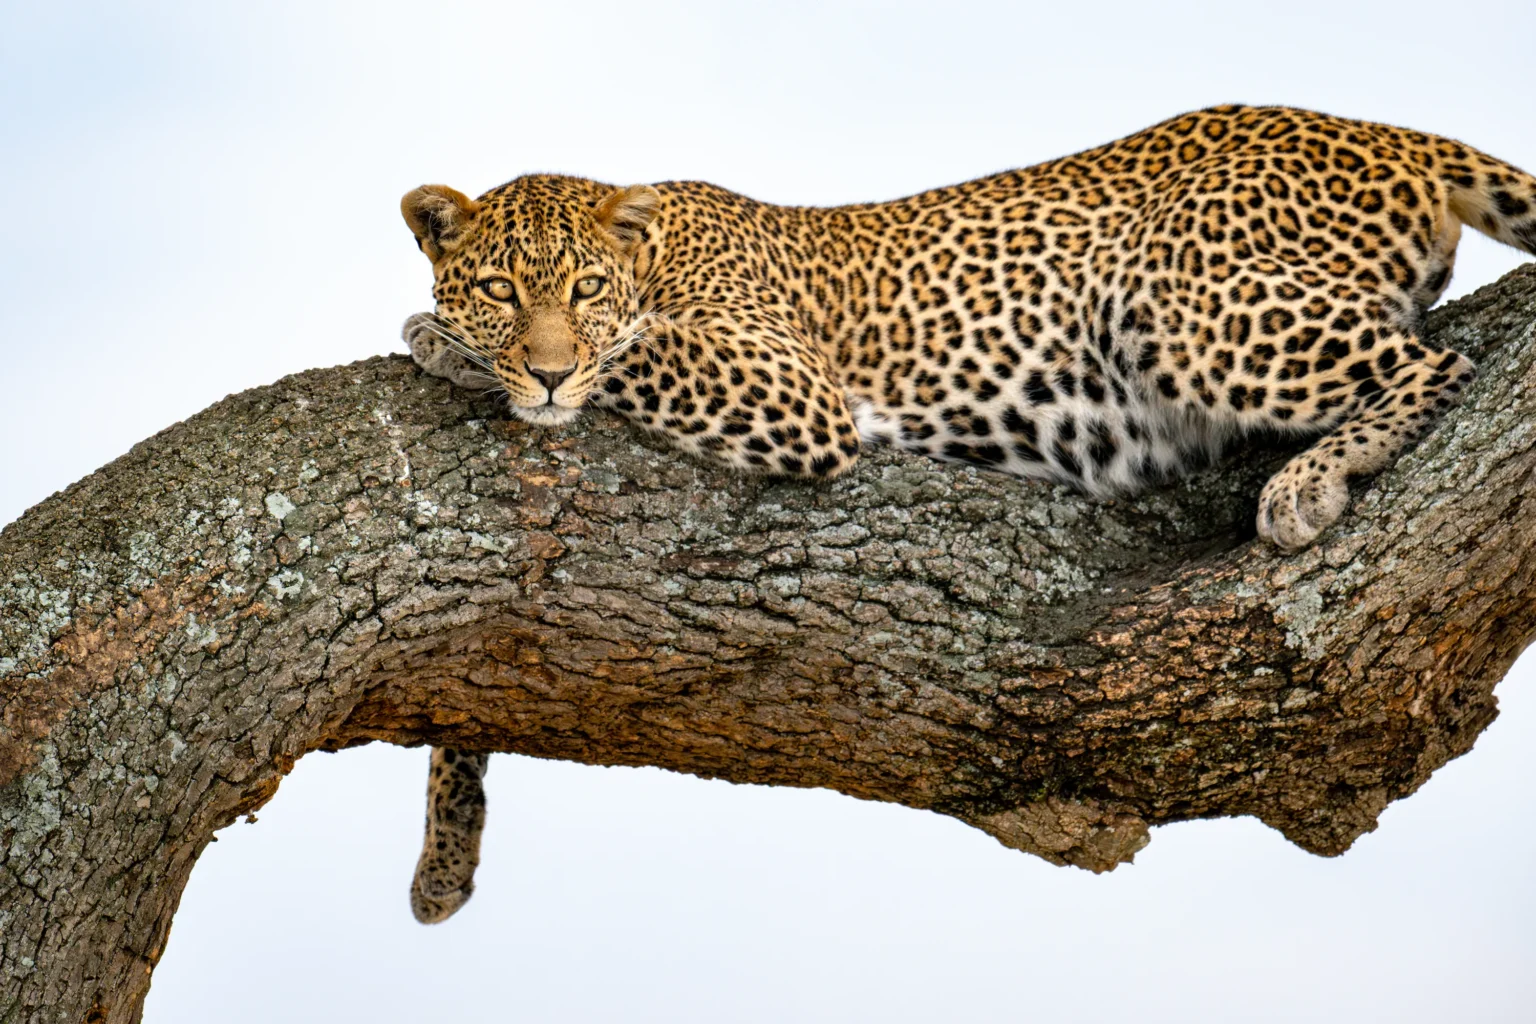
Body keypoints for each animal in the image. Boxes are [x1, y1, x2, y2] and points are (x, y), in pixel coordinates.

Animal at [396, 104, 1536, 922]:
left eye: (587, 288)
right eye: (500, 287)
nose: (545, 372)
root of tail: (1383, 130)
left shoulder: (793, 392)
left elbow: (636, 349)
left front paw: (442, 343)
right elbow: (466, 691)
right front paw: (445, 860)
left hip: (1173, 297)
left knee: (1437, 364)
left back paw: (1309, 485)